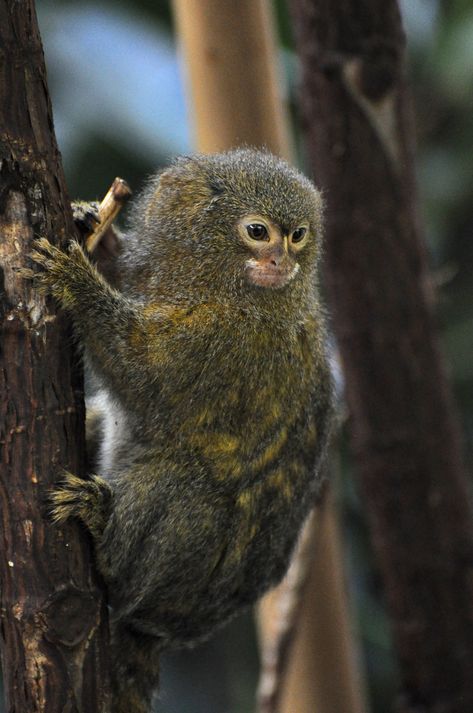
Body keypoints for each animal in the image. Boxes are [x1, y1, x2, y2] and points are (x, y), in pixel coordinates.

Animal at [28, 149, 332, 712]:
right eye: (259, 232)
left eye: (298, 235)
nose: (283, 262)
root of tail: (162, 632)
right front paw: (95, 228)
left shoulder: (230, 340)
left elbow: (144, 378)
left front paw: (76, 281)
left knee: (182, 482)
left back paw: (107, 540)